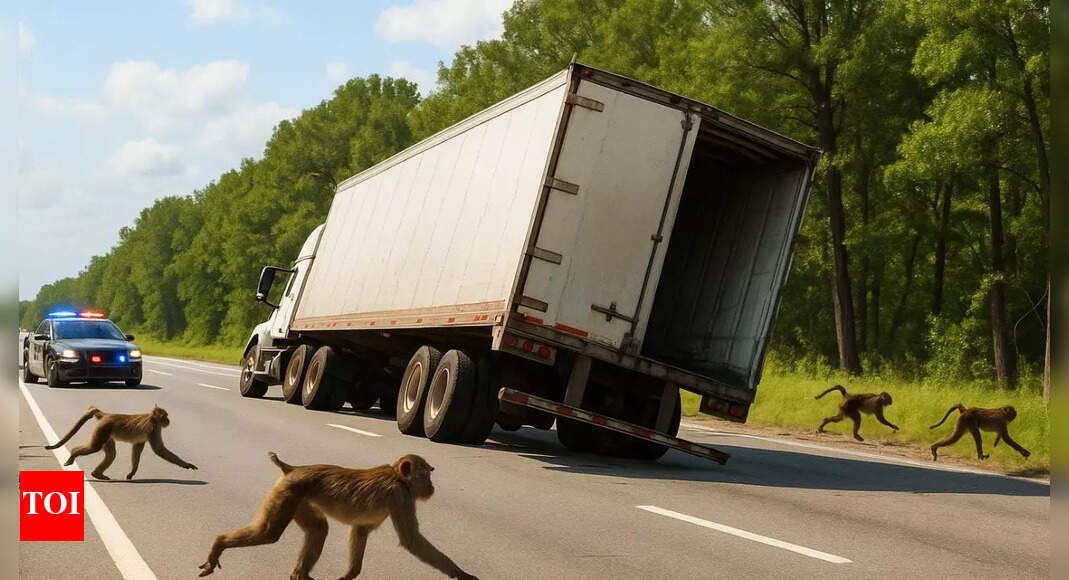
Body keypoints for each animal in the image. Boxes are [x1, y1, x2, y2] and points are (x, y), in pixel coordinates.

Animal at [45, 405, 197, 480]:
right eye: (165, 416)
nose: (168, 421)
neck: (152, 418)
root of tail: (105, 415)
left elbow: (137, 450)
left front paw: (132, 473)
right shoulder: (154, 429)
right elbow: (159, 449)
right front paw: (186, 464)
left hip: (106, 433)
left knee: (111, 454)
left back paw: (97, 474)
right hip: (103, 429)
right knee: (95, 447)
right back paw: (73, 453)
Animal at [198, 452, 478, 580]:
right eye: (426, 474)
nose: (432, 487)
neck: (398, 477)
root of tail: (292, 469)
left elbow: (361, 531)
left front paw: (350, 575)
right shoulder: (400, 496)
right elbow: (411, 539)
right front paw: (460, 572)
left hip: (298, 499)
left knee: (319, 529)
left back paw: (300, 574)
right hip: (287, 493)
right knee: (269, 533)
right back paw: (219, 543)